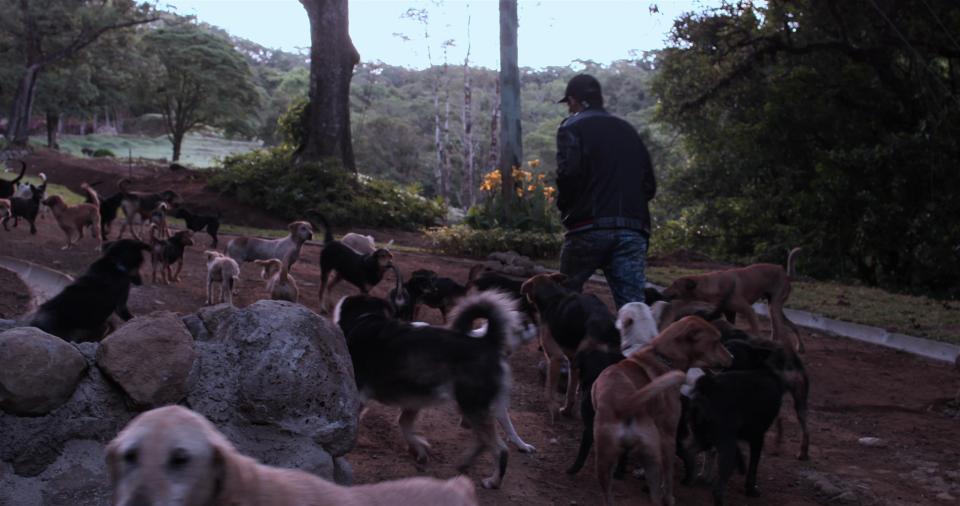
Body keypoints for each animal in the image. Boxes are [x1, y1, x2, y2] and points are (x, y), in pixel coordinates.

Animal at [588, 316, 732, 506]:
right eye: (716, 341)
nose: (732, 358)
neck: (663, 357)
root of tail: (624, 401)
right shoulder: (668, 436)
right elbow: (668, 474)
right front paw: (669, 496)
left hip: (605, 460)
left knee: (608, 495)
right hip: (652, 453)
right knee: (656, 495)